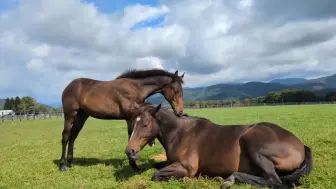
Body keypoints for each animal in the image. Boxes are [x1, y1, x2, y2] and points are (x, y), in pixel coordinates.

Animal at [125, 105, 312, 189]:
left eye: (146, 124)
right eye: (133, 123)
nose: (130, 151)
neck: (180, 133)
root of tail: (302, 146)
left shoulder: (187, 167)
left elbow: (156, 174)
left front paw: (187, 180)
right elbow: (156, 166)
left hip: (255, 146)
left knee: (274, 181)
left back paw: (228, 179)